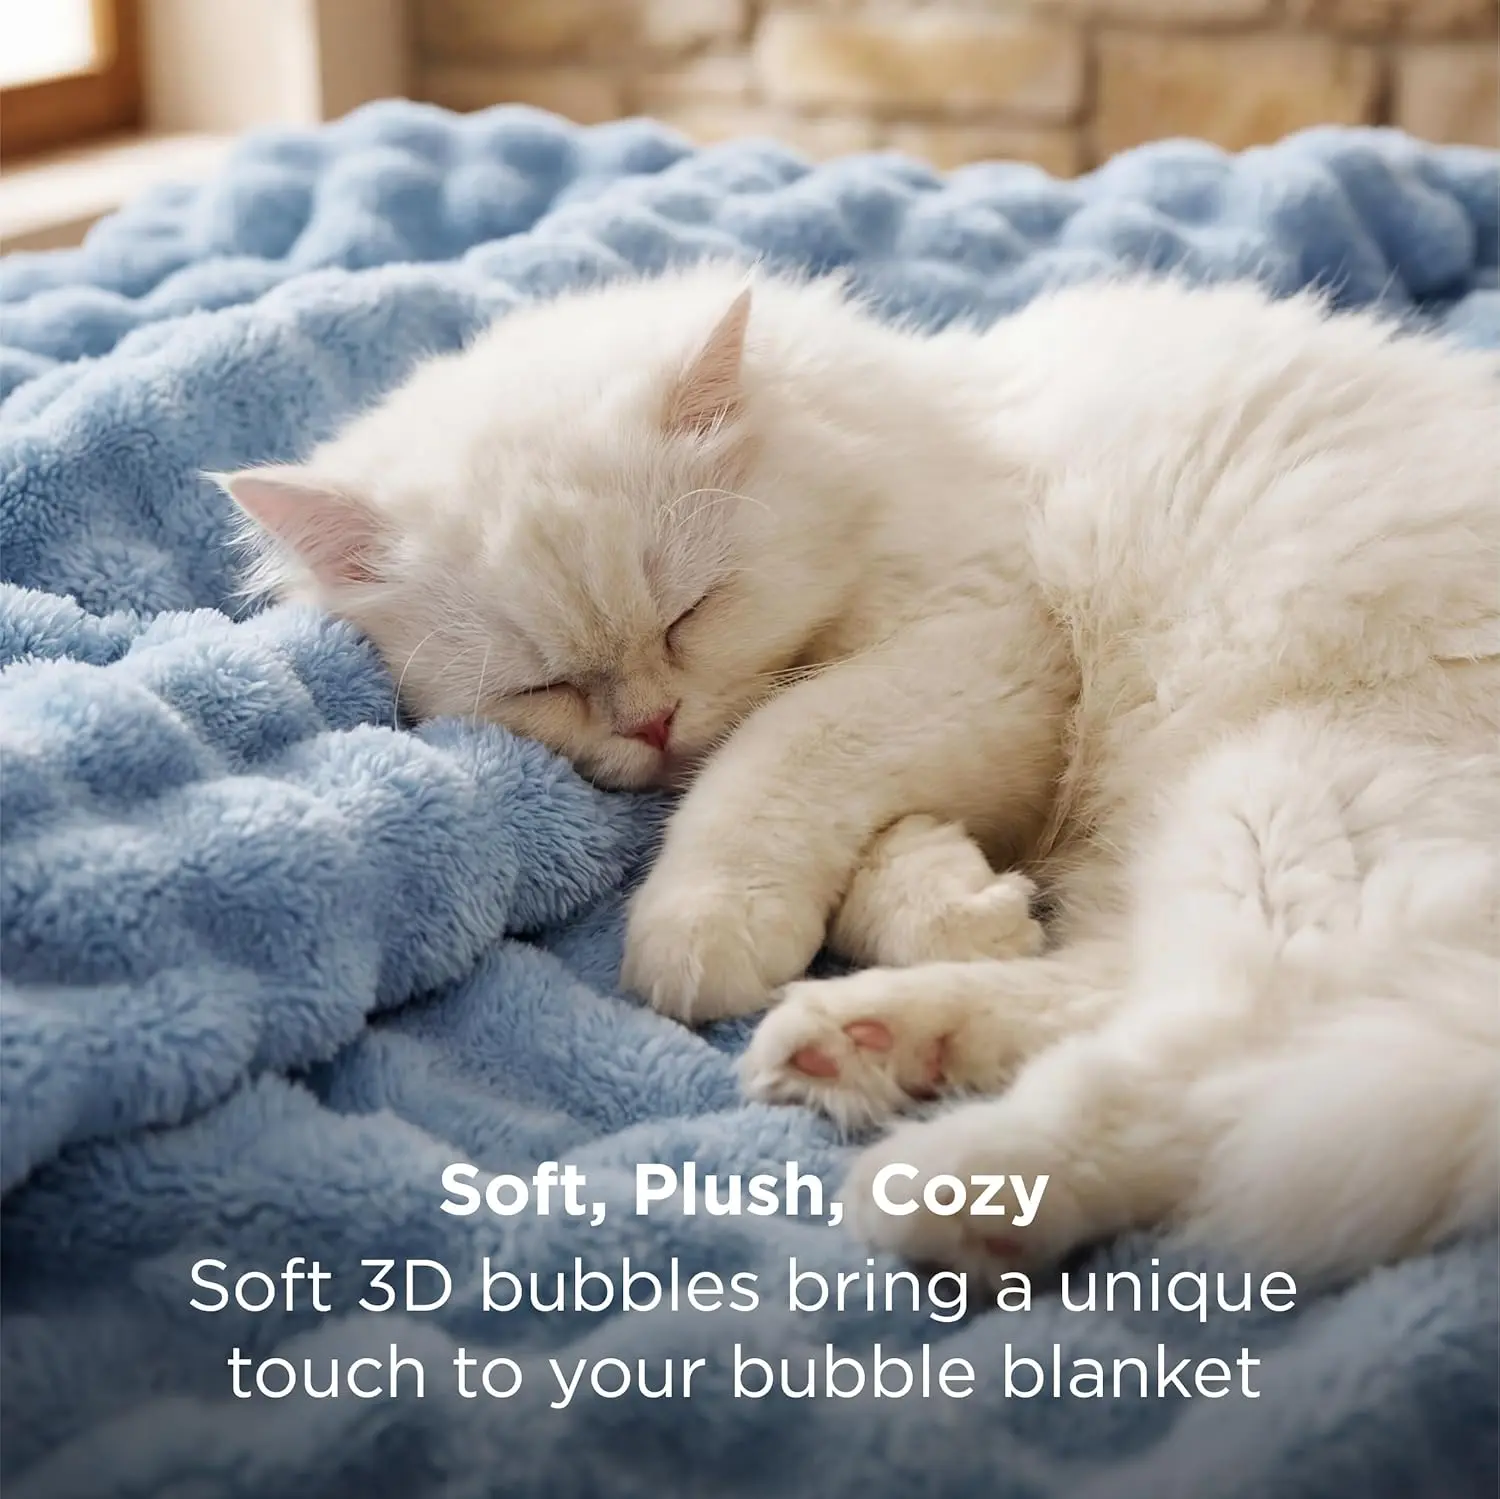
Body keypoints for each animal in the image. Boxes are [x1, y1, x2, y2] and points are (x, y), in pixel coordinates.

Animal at [224, 264, 1500, 1287]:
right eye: (550, 684)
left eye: (690, 615)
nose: (652, 721)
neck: (887, 442)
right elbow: (881, 853)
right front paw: (959, 908)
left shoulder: (984, 648)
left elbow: (780, 750)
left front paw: (700, 923)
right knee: (1143, 1004)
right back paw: (869, 1040)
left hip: (1282, 806)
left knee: (1223, 1063)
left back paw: (943, 1177)